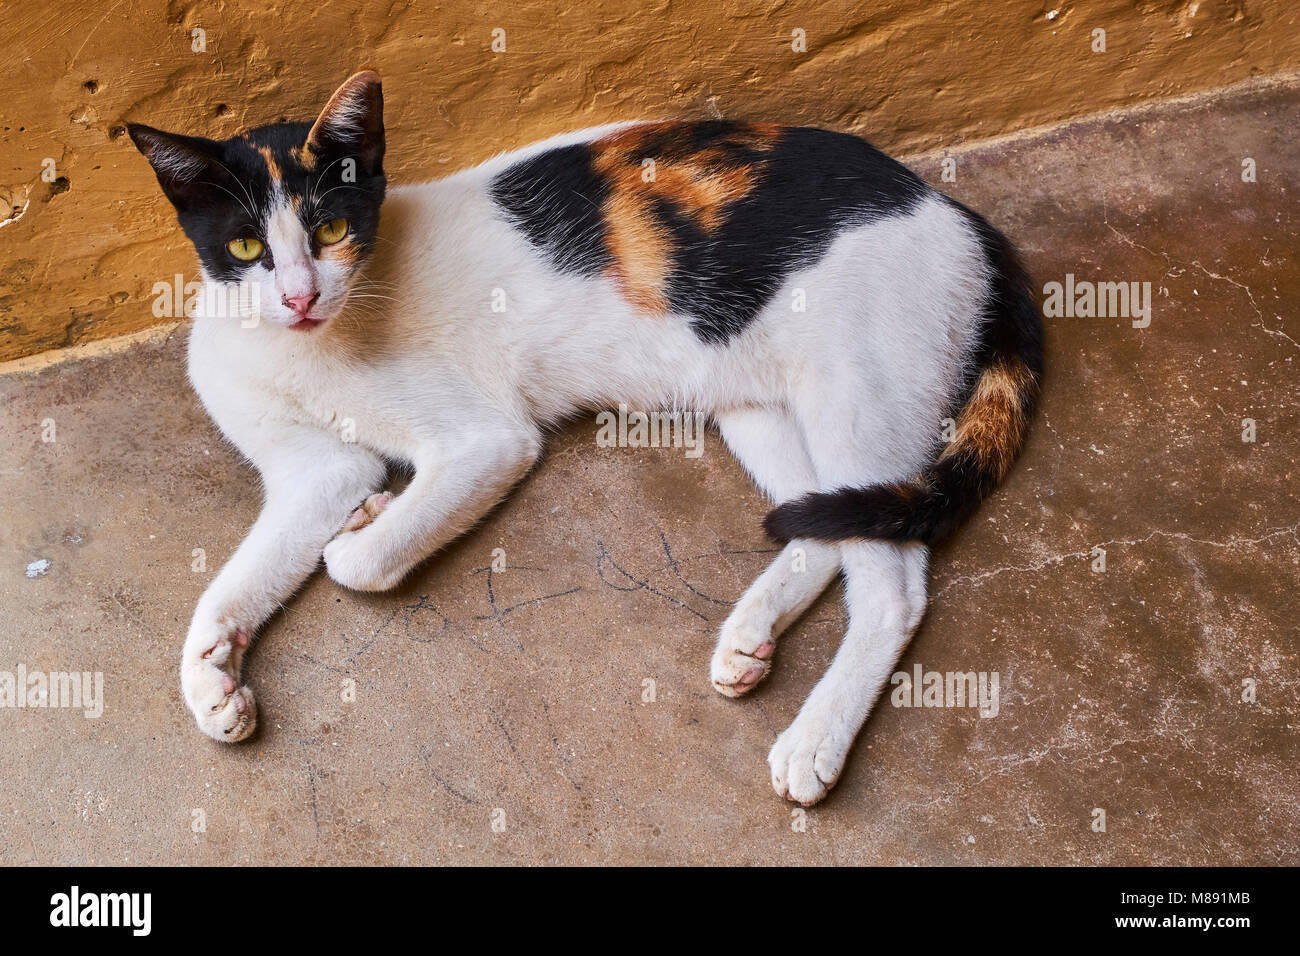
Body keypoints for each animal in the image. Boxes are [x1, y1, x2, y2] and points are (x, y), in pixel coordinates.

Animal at [126, 70, 1040, 806]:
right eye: (246, 245)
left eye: (330, 232)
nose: (300, 297)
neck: (304, 347)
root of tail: (953, 207)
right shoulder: (318, 470)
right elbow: (247, 575)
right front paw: (212, 673)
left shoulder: (487, 441)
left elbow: (357, 564)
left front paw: (365, 528)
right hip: (757, 403)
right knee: (828, 520)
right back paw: (750, 636)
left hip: (855, 393)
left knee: (894, 583)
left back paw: (815, 740)